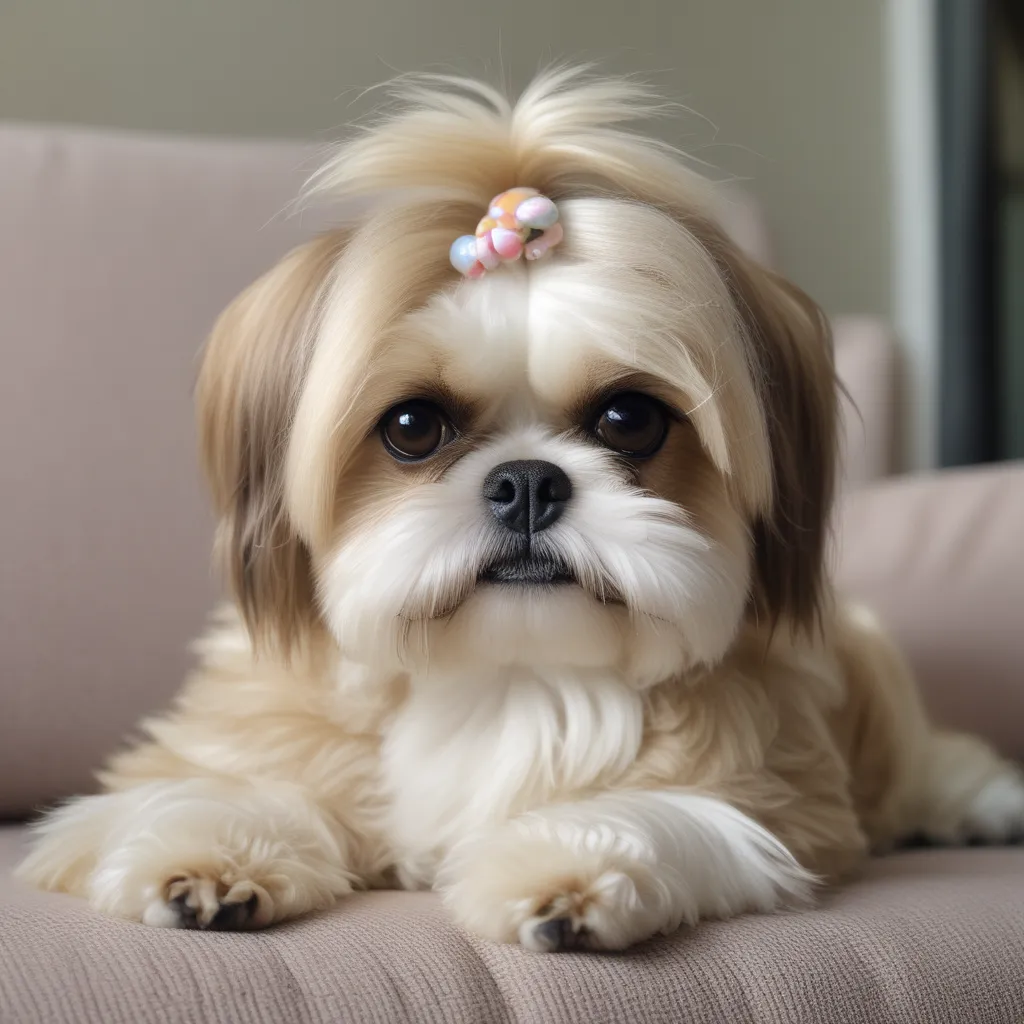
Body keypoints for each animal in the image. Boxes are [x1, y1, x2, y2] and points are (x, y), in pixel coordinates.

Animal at [18, 70, 1024, 950]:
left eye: (630, 418)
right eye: (413, 426)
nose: (529, 481)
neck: (504, 676)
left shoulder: (775, 800)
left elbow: (662, 812)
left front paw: (563, 871)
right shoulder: (236, 740)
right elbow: (209, 789)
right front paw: (205, 852)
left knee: (922, 763)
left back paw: (979, 802)